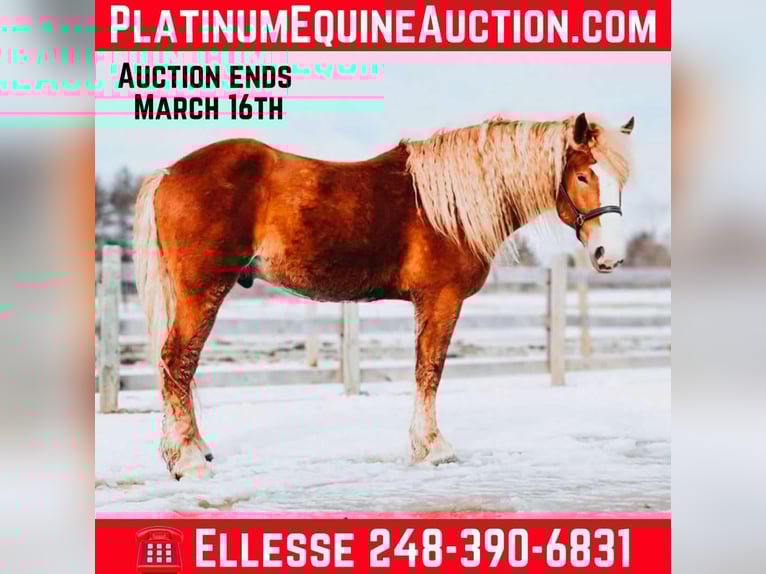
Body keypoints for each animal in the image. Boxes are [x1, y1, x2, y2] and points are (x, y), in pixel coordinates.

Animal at [133, 112, 634, 480]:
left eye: (620, 180)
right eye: (583, 176)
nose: (609, 255)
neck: (449, 203)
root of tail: (169, 172)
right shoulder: (440, 299)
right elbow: (430, 370)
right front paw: (433, 448)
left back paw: (193, 449)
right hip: (202, 290)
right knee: (178, 360)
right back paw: (187, 461)